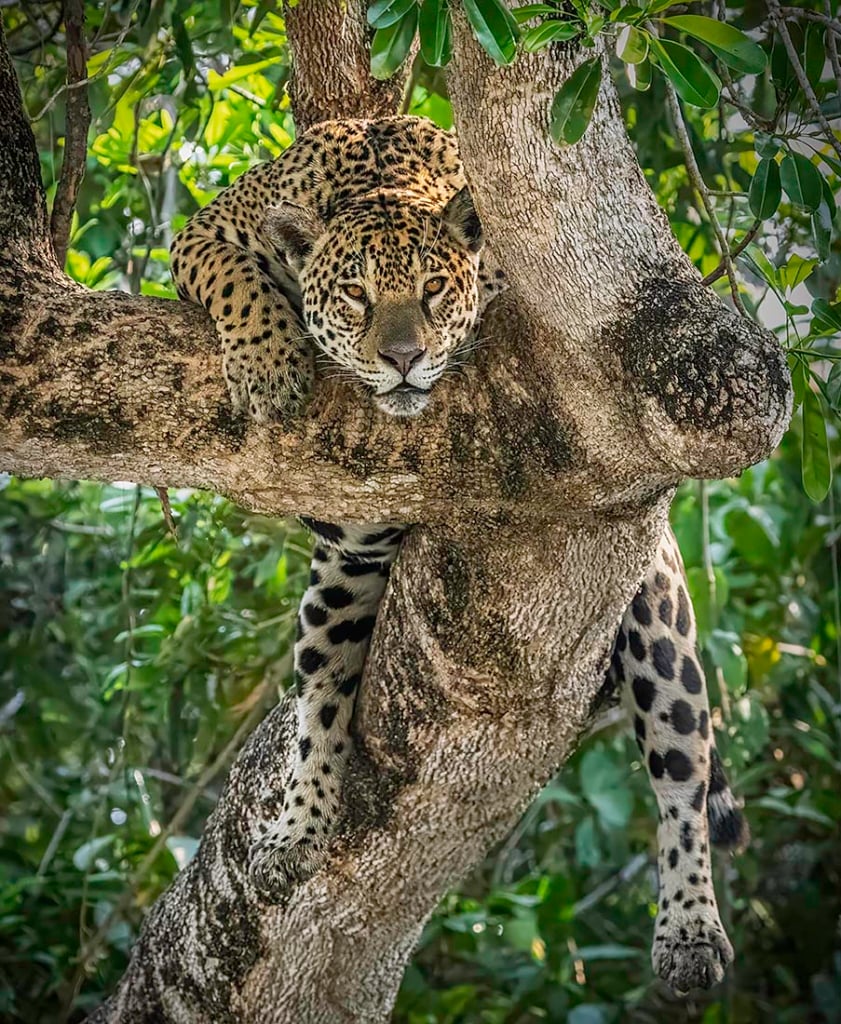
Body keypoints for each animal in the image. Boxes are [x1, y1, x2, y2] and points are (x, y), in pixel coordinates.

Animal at [170, 114, 749, 994]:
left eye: (434, 293)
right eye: (355, 296)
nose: (403, 359)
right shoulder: (205, 232)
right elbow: (233, 276)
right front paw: (269, 359)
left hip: (659, 613)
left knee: (681, 770)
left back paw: (688, 930)